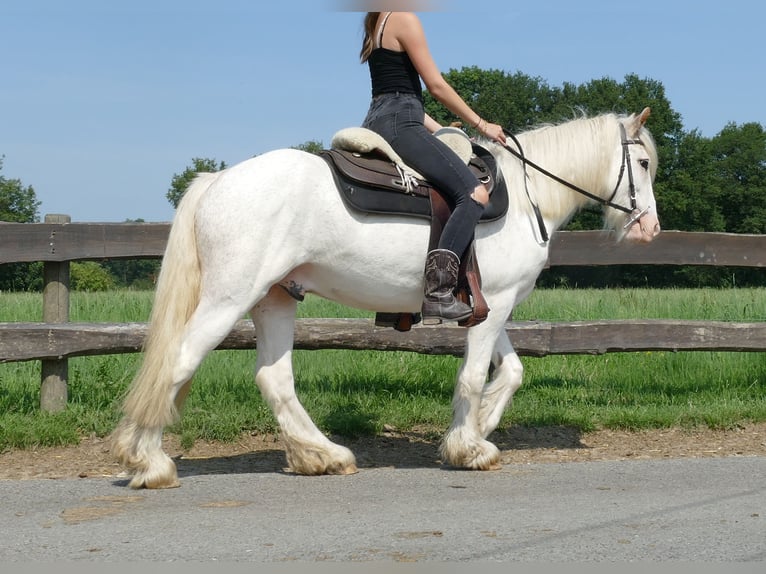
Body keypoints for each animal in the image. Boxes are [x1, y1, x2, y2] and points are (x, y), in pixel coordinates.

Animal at [111, 106, 664, 488]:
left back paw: (322, 456)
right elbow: (472, 378)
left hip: (275, 298)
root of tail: (218, 180)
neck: (529, 200)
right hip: (229, 297)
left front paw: (477, 428)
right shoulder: (495, 306)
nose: (651, 228)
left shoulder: (489, 307)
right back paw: (149, 461)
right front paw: (469, 447)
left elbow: (510, 372)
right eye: (641, 162)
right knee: (178, 362)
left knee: (274, 378)